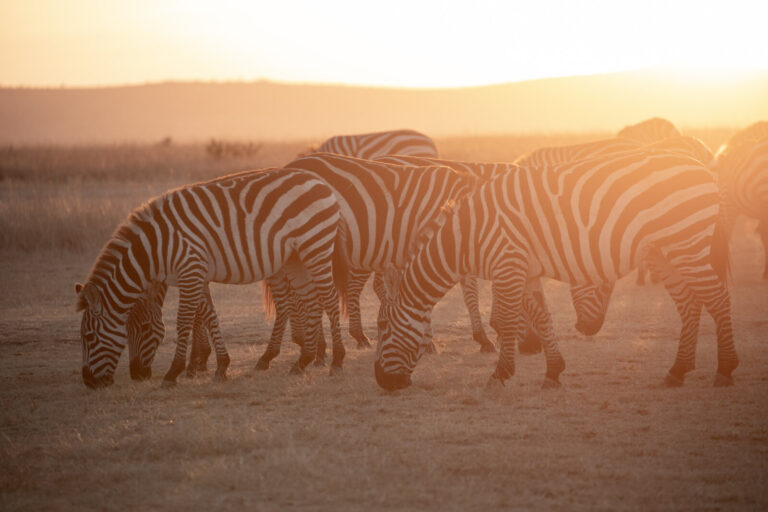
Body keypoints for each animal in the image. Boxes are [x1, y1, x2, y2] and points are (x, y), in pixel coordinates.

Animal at [76, 168, 347, 388]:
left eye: (88, 337)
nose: (88, 382)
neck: (155, 248)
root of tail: (321, 182)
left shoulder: (190, 271)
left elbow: (184, 321)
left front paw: (173, 372)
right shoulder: (198, 275)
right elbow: (210, 316)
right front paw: (222, 366)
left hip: (315, 247)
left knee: (330, 299)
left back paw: (336, 360)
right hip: (294, 258)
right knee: (311, 300)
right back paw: (303, 361)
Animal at [374, 150, 738, 391]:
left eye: (383, 329)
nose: (382, 382)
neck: (466, 235)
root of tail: (702, 166)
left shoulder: (508, 265)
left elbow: (510, 321)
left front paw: (500, 374)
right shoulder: (526, 271)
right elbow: (542, 316)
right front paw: (553, 370)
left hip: (685, 245)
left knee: (718, 299)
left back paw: (725, 369)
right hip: (665, 254)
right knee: (690, 305)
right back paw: (678, 370)